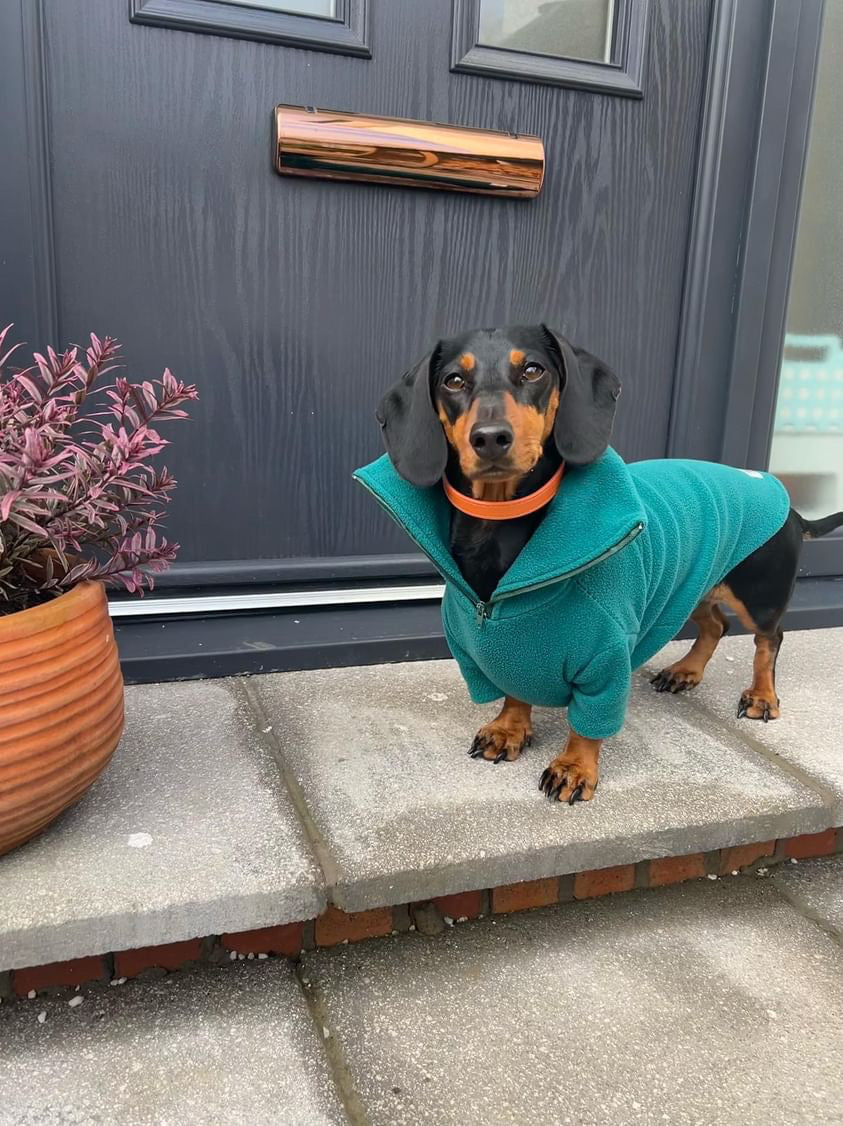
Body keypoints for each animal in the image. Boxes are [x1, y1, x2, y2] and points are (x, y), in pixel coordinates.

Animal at [362, 324, 843, 801]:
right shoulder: (506, 651)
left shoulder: (606, 659)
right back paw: (685, 671)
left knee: (768, 639)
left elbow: (588, 723)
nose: (490, 438)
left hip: (758, 592)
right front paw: (509, 729)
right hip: (692, 585)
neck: (500, 527)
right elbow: (515, 692)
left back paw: (762, 696)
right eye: (453, 380)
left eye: (533, 370)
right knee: (716, 625)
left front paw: (575, 767)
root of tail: (791, 506)